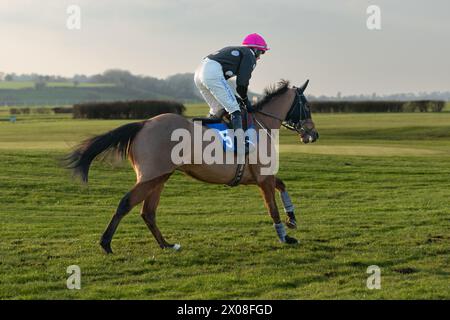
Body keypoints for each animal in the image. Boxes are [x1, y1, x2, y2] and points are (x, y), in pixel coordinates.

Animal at [66, 79, 320, 252]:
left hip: (160, 177)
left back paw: (166, 245)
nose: (313, 134)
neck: (261, 124)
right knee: (126, 203)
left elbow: (283, 186)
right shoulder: (263, 178)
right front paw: (285, 236)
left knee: (148, 211)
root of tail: (144, 123)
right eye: (307, 106)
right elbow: (272, 208)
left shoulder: (260, 177)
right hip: (151, 177)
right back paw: (106, 243)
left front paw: (292, 219)